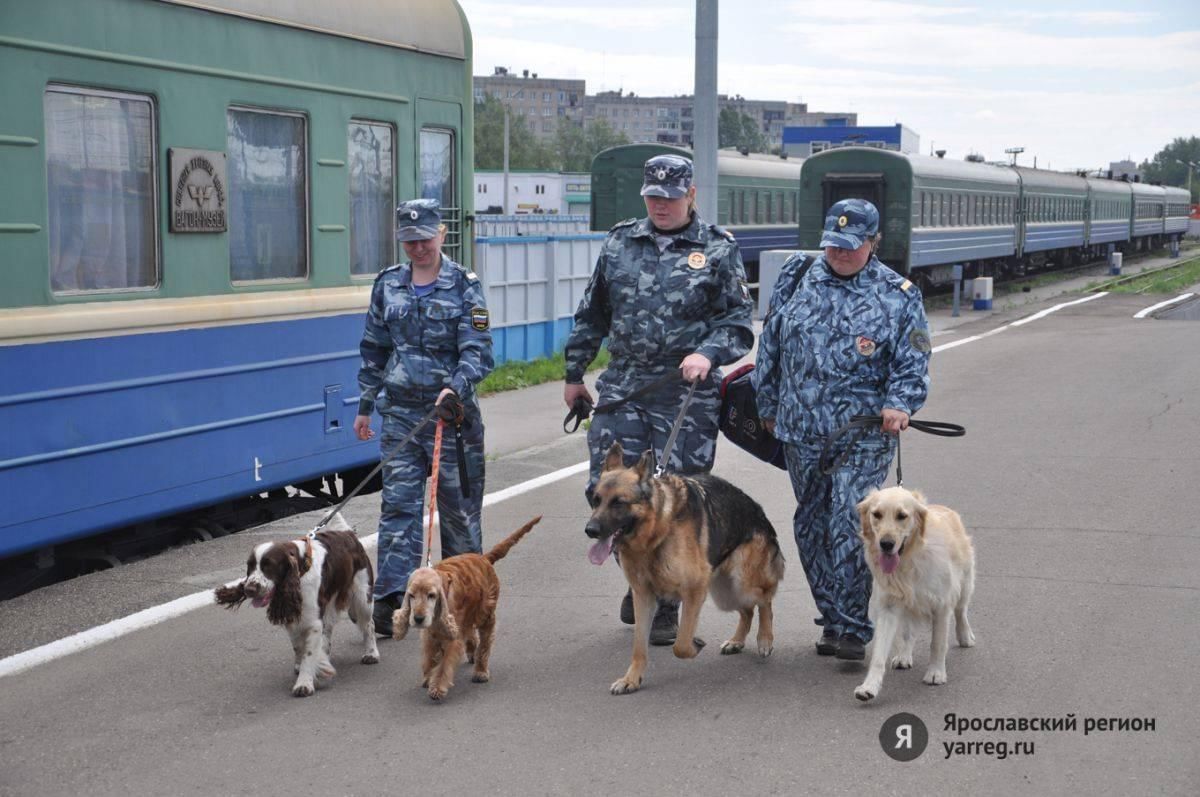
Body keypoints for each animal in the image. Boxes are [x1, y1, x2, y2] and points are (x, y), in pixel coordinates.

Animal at [396, 516, 542, 696]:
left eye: (431, 595)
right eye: (411, 595)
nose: (417, 618)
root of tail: (484, 558)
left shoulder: (453, 635)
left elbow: (444, 664)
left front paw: (437, 687)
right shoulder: (431, 632)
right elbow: (429, 657)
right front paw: (428, 677)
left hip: (486, 615)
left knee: (484, 645)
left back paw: (481, 671)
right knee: (471, 634)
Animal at [585, 439, 782, 696]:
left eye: (619, 502)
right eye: (596, 500)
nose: (590, 530)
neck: (657, 531)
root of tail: (759, 512)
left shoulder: (694, 591)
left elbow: (681, 644)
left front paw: (695, 645)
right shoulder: (643, 596)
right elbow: (639, 645)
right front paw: (632, 679)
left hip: (742, 583)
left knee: (764, 600)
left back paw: (765, 639)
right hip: (725, 593)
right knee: (747, 610)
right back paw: (737, 641)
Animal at [854, 484, 974, 705]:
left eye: (902, 516)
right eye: (877, 514)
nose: (886, 543)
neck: (909, 559)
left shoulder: (941, 604)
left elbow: (937, 643)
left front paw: (935, 673)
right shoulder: (889, 606)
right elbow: (879, 655)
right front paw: (869, 687)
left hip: (965, 583)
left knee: (961, 611)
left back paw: (965, 636)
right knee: (908, 632)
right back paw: (903, 656)